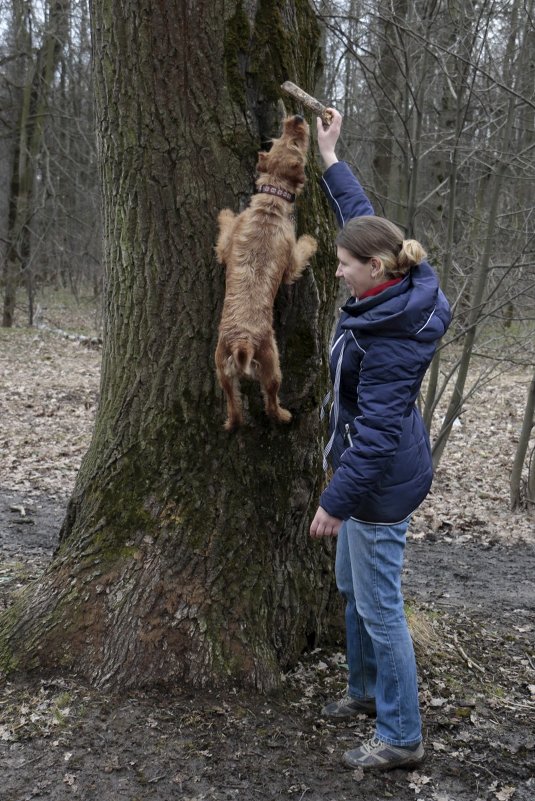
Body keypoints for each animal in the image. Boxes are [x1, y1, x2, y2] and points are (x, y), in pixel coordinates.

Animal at [215, 115, 316, 428]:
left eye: (276, 141)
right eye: (294, 142)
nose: (297, 118)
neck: (271, 202)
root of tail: (242, 342)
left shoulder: (228, 245)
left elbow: (225, 232)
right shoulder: (290, 262)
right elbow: (301, 252)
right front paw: (311, 241)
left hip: (223, 370)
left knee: (234, 405)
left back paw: (232, 423)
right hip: (271, 366)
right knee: (270, 401)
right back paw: (283, 415)